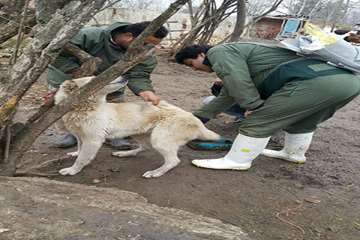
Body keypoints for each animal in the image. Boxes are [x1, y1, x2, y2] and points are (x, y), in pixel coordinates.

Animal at [54, 77, 221, 178]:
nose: (124, 76)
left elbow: (82, 158)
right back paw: (125, 153)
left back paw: (155, 172)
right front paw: (75, 153)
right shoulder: (80, 136)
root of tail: (196, 120)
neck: (83, 108)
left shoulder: (93, 139)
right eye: (96, 79)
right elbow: (79, 149)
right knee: (144, 148)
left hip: (159, 139)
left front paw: (72, 170)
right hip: (144, 135)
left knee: (173, 161)